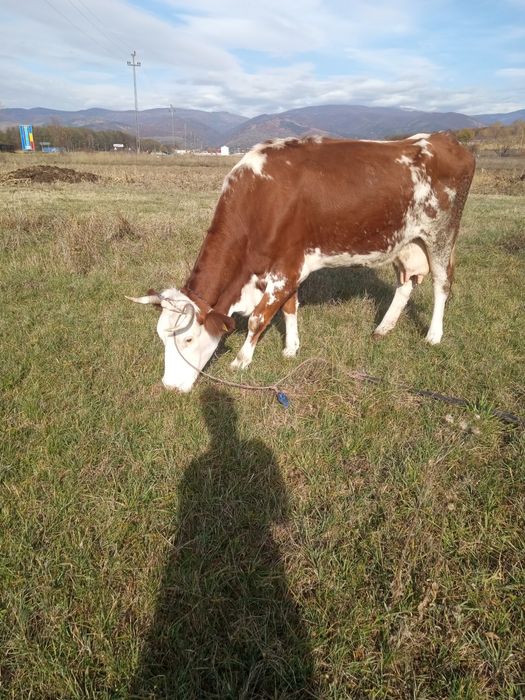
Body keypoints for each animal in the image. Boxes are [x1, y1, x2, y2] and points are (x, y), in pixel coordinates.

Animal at [127, 132, 475, 392]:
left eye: (187, 338)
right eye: (161, 337)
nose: (170, 386)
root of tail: (446, 139)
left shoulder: (287, 267)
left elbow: (258, 318)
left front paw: (242, 360)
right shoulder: (287, 264)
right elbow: (290, 307)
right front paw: (291, 348)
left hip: (441, 233)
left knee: (442, 283)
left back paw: (433, 335)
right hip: (405, 240)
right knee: (405, 284)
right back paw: (383, 328)